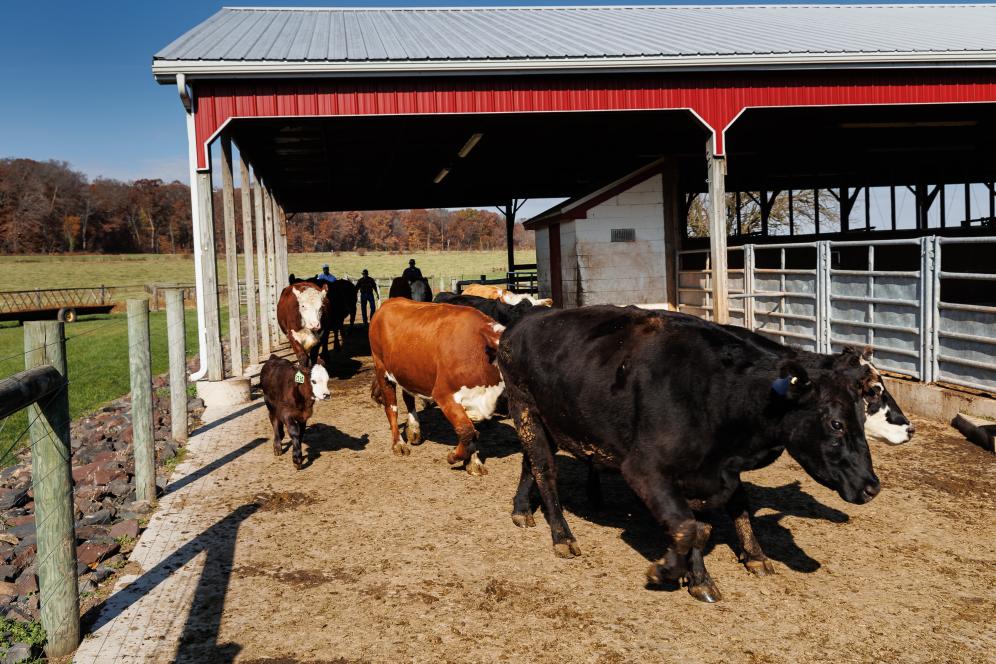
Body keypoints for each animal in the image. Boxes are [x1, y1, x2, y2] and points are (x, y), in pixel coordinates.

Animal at [368, 298, 504, 476]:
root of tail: (389, 302)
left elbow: (473, 433)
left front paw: (473, 463)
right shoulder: (444, 394)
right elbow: (467, 430)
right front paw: (454, 456)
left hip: (409, 372)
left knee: (408, 398)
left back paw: (414, 430)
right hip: (382, 369)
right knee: (392, 408)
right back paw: (398, 444)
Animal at [498, 305, 880, 602]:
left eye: (863, 415)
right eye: (835, 424)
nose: (872, 486)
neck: (718, 391)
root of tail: (526, 318)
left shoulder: (717, 473)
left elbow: (719, 517)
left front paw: (739, 563)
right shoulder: (644, 469)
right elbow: (687, 526)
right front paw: (674, 572)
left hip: (549, 420)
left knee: (530, 464)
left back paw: (521, 510)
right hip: (525, 409)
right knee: (545, 470)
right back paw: (562, 537)